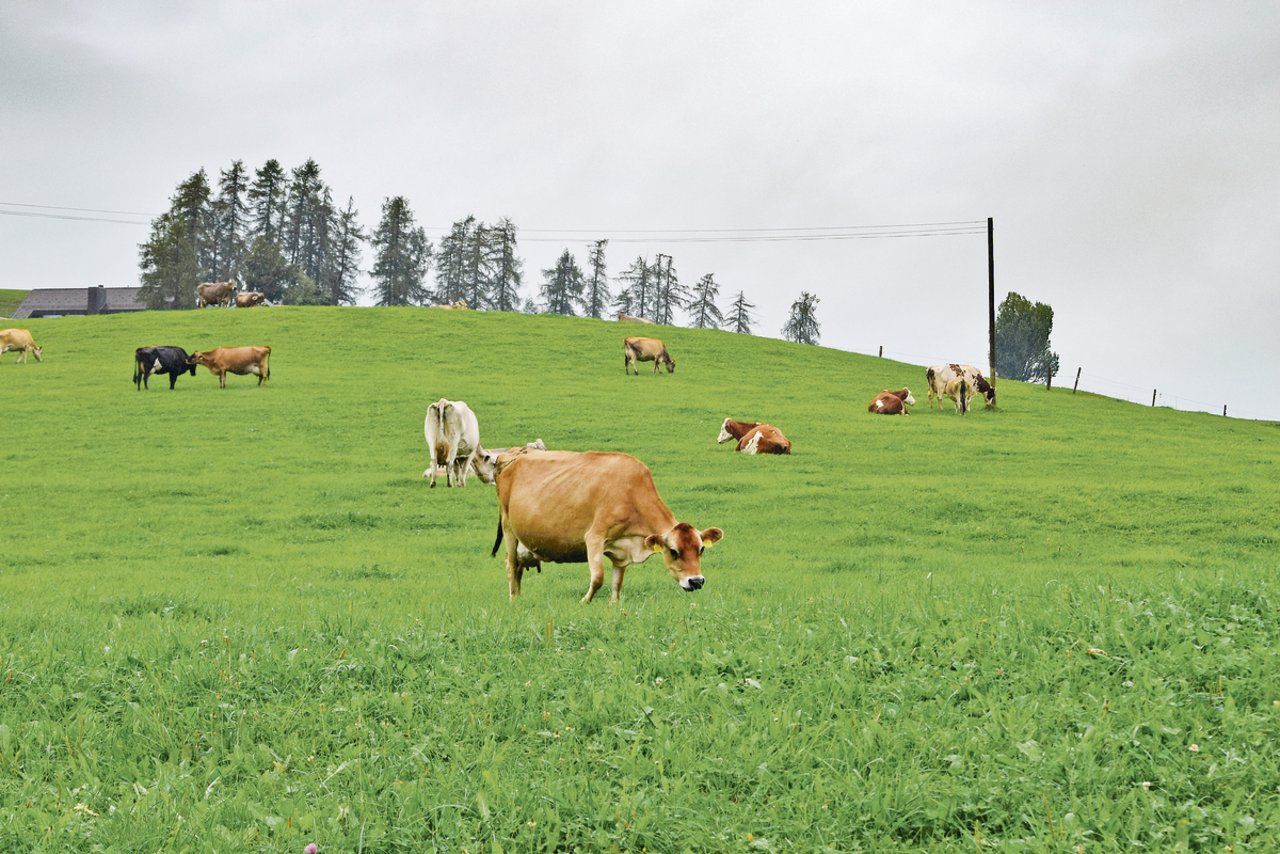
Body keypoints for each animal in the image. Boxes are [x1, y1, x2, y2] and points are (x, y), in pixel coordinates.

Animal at [494, 450, 727, 604]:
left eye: (701, 549)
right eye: (673, 551)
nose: (696, 581)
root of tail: (512, 456)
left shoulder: (621, 550)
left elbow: (617, 583)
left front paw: (613, 605)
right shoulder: (594, 537)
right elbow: (598, 578)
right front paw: (584, 602)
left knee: (518, 568)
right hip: (508, 527)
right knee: (511, 566)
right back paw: (513, 600)